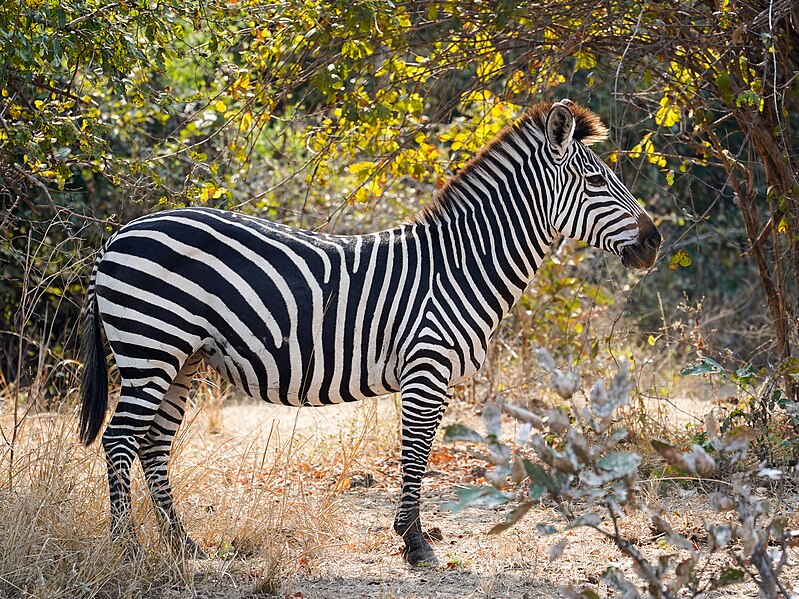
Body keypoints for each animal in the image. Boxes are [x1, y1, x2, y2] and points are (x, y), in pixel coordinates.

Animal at [79, 98, 664, 568]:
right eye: (596, 182)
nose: (655, 242)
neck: (461, 266)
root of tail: (118, 235)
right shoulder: (427, 367)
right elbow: (417, 453)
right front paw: (416, 543)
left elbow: (417, 453)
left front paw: (412, 538)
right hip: (151, 346)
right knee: (120, 439)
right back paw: (126, 548)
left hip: (184, 358)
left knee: (153, 445)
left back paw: (183, 545)